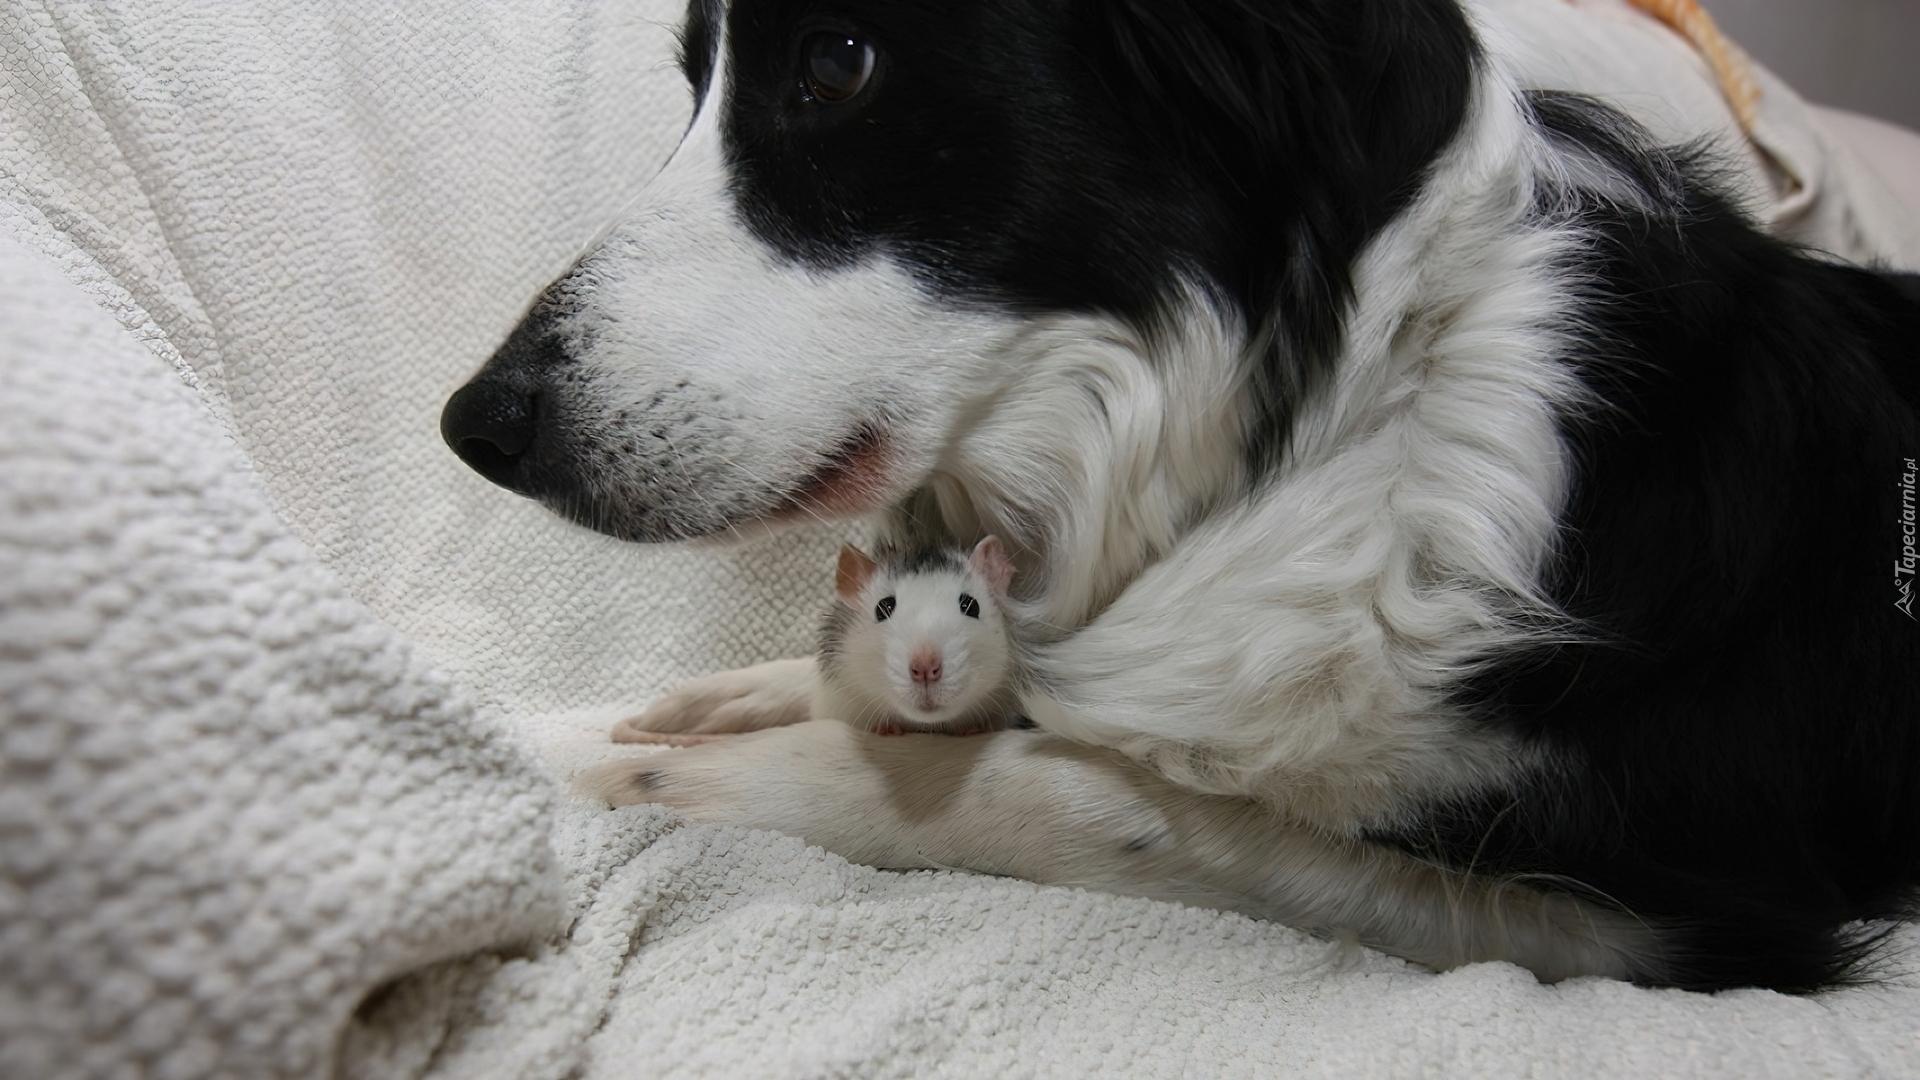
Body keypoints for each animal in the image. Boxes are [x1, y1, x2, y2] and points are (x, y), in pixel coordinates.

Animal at [441, 0, 1920, 991]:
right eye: (696, 82)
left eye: (837, 62)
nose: (473, 426)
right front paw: (618, 720)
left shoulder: (1696, 915)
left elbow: (1080, 791)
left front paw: (651, 772)